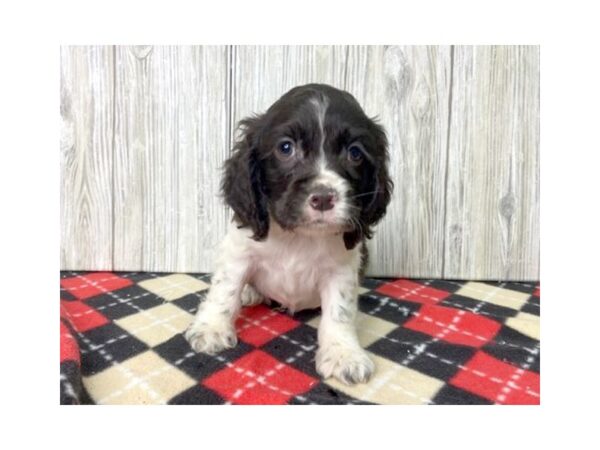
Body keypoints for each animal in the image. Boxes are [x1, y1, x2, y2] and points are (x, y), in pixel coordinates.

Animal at [188, 83, 394, 384]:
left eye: (355, 153)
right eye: (286, 148)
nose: (323, 197)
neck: (299, 236)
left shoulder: (342, 268)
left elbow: (340, 311)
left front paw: (343, 353)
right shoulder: (240, 251)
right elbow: (224, 289)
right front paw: (211, 328)